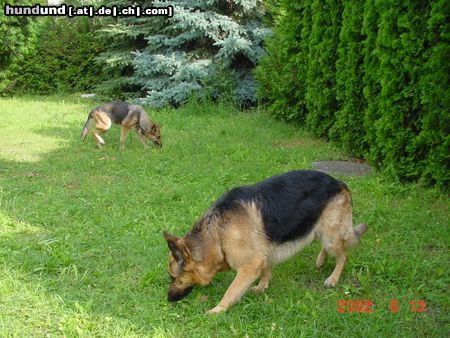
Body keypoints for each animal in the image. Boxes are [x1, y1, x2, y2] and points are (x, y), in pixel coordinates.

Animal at [163, 172, 368, 314]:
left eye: (173, 278)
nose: (168, 299)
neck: (217, 234)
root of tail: (339, 182)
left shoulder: (249, 266)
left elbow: (230, 292)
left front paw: (217, 311)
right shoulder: (263, 255)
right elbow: (266, 271)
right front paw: (262, 288)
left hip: (330, 235)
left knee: (343, 254)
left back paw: (333, 278)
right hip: (318, 229)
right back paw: (320, 261)